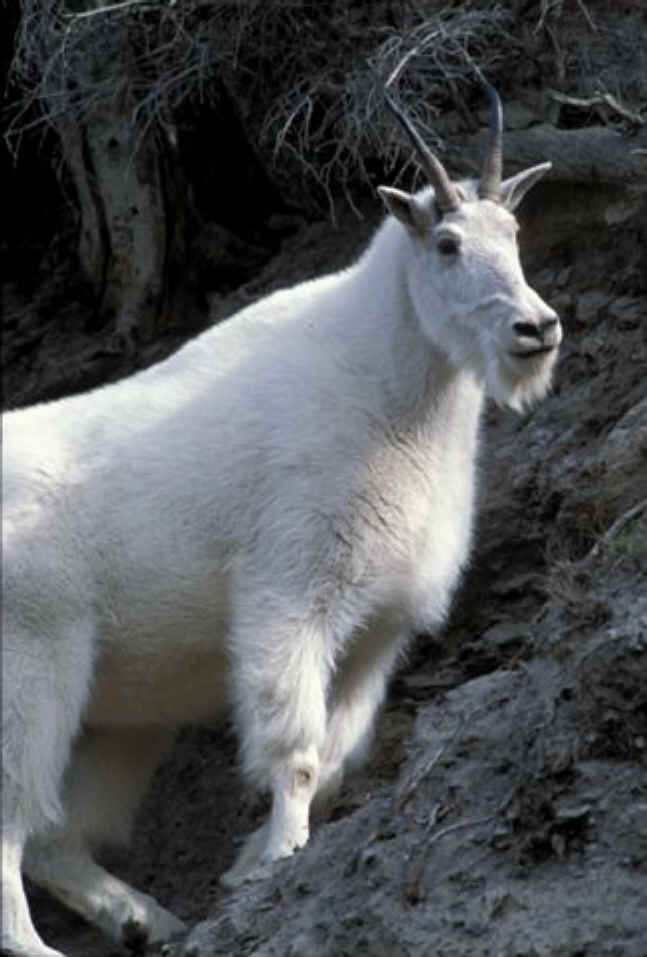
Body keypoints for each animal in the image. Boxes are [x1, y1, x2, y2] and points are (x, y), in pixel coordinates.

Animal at [1, 85, 561, 957]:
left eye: (513, 235)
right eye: (445, 243)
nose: (535, 329)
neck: (393, 395)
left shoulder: (377, 630)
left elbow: (335, 750)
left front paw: (242, 866)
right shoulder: (293, 592)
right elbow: (294, 746)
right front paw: (277, 858)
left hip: (118, 715)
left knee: (59, 837)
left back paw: (145, 918)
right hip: (30, 668)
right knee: (14, 820)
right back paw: (34, 943)